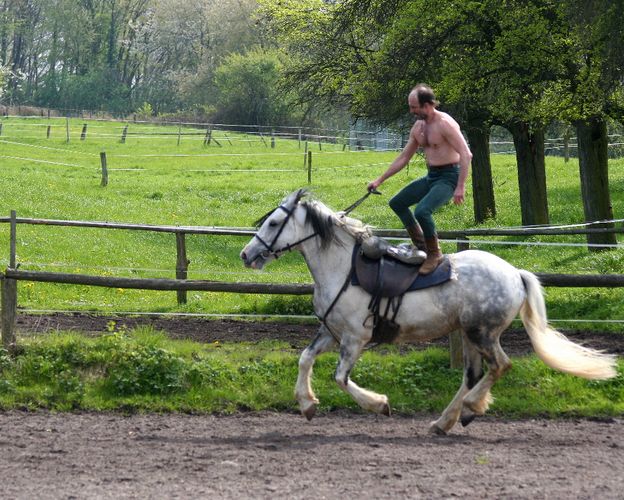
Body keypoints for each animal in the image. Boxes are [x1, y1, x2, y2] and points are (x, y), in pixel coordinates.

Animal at [241, 189, 616, 436]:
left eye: (274, 223)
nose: (246, 254)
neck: (342, 268)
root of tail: (515, 274)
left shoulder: (354, 338)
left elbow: (340, 378)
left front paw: (379, 403)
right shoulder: (331, 332)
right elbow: (304, 359)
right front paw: (307, 404)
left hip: (482, 332)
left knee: (501, 366)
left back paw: (469, 408)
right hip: (468, 334)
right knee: (472, 375)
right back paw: (445, 421)